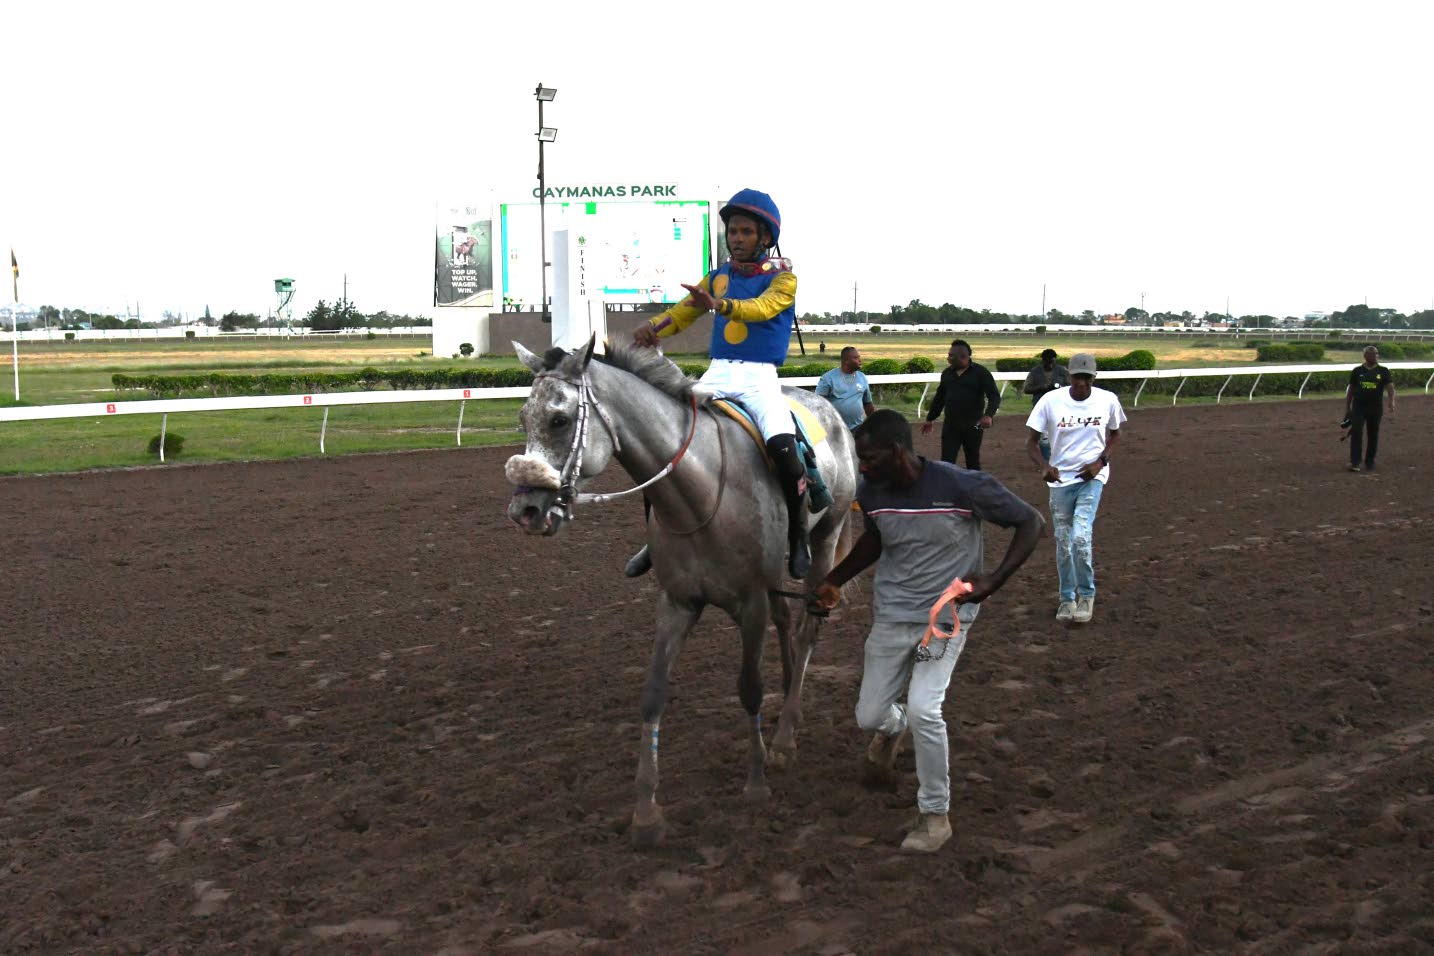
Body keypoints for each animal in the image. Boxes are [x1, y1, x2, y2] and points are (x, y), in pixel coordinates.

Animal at [505, 337, 858, 846]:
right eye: (522, 418)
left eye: (559, 419)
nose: (525, 510)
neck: (702, 492)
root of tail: (832, 412)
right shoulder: (676, 602)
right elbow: (653, 693)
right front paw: (646, 811)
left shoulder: (749, 602)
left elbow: (749, 688)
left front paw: (755, 782)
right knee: (786, 620)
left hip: (825, 540)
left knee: (808, 626)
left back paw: (786, 733)